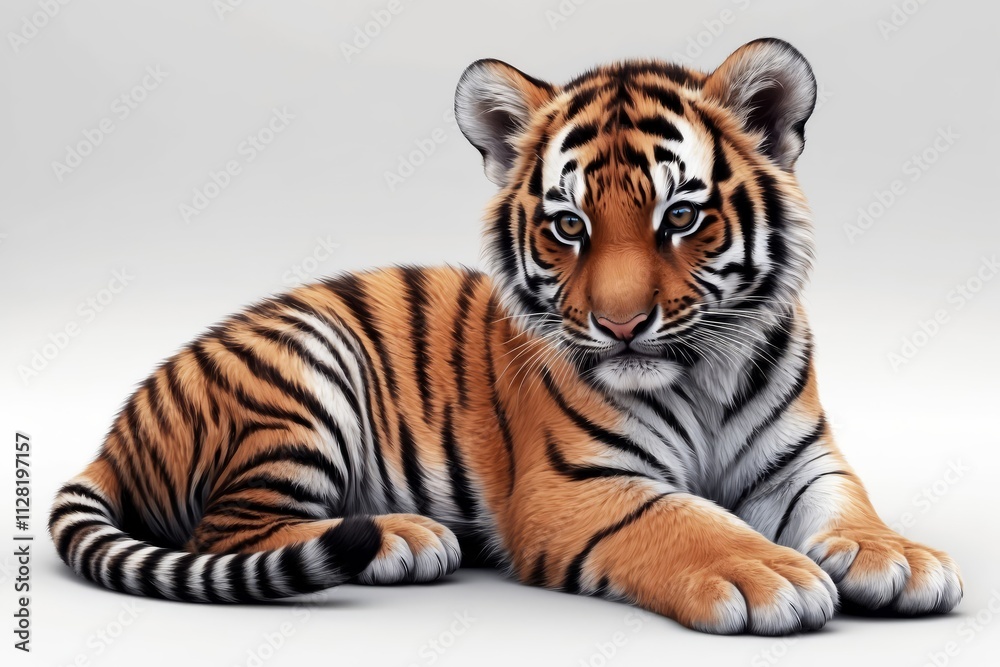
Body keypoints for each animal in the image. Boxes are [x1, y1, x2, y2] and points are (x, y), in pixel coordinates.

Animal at [50, 38, 962, 635]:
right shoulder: (579, 486)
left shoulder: (801, 457)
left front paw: (898, 557)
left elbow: (846, 500)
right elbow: (682, 517)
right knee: (231, 530)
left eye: (680, 217)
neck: (700, 376)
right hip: (301, 375)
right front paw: (766, 569)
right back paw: (403, 536)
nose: (620, 326)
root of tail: (113, 437)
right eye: (568, 225)